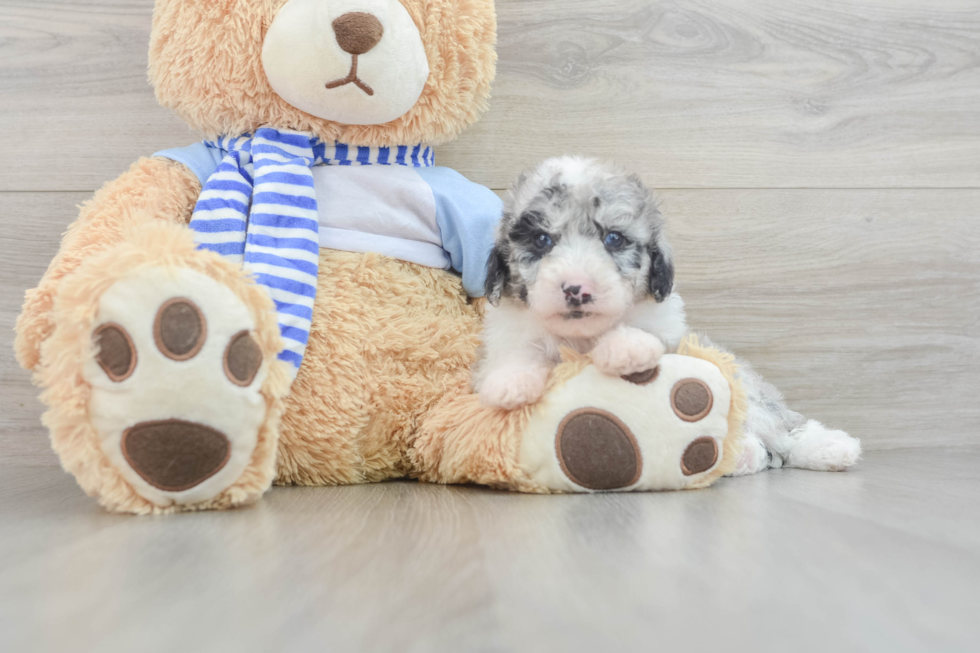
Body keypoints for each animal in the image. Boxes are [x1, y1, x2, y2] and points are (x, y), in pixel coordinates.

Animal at [474, 158, 864, 474]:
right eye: (542, 240)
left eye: (614, 239)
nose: (576, 289)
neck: (581, 338)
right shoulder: (511, 333)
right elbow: (517, 354)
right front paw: (510, 383)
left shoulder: (670, 336)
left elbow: (641, 336)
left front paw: (625, 348)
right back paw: (743, 456)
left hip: (752, 395)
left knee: (783, 431)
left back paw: (830, 448)